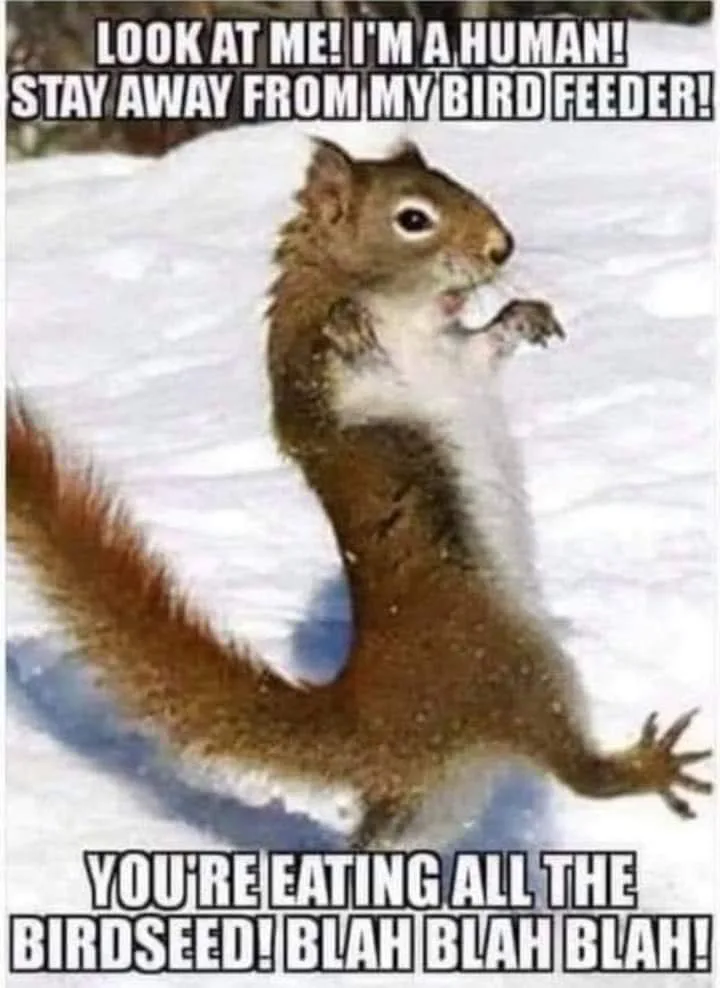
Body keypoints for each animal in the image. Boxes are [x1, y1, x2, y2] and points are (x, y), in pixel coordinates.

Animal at [7, 137, 712, 849]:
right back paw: (649, 766)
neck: (405, 312)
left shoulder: (459, 355)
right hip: (514, 668)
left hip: (429, 803)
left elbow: (486, 344)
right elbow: (317, 390)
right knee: (575, 770)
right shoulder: (306, 385)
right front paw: (347, 322)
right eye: (413, 219)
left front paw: (526, 316)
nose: (501, 247)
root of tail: (372, 724)